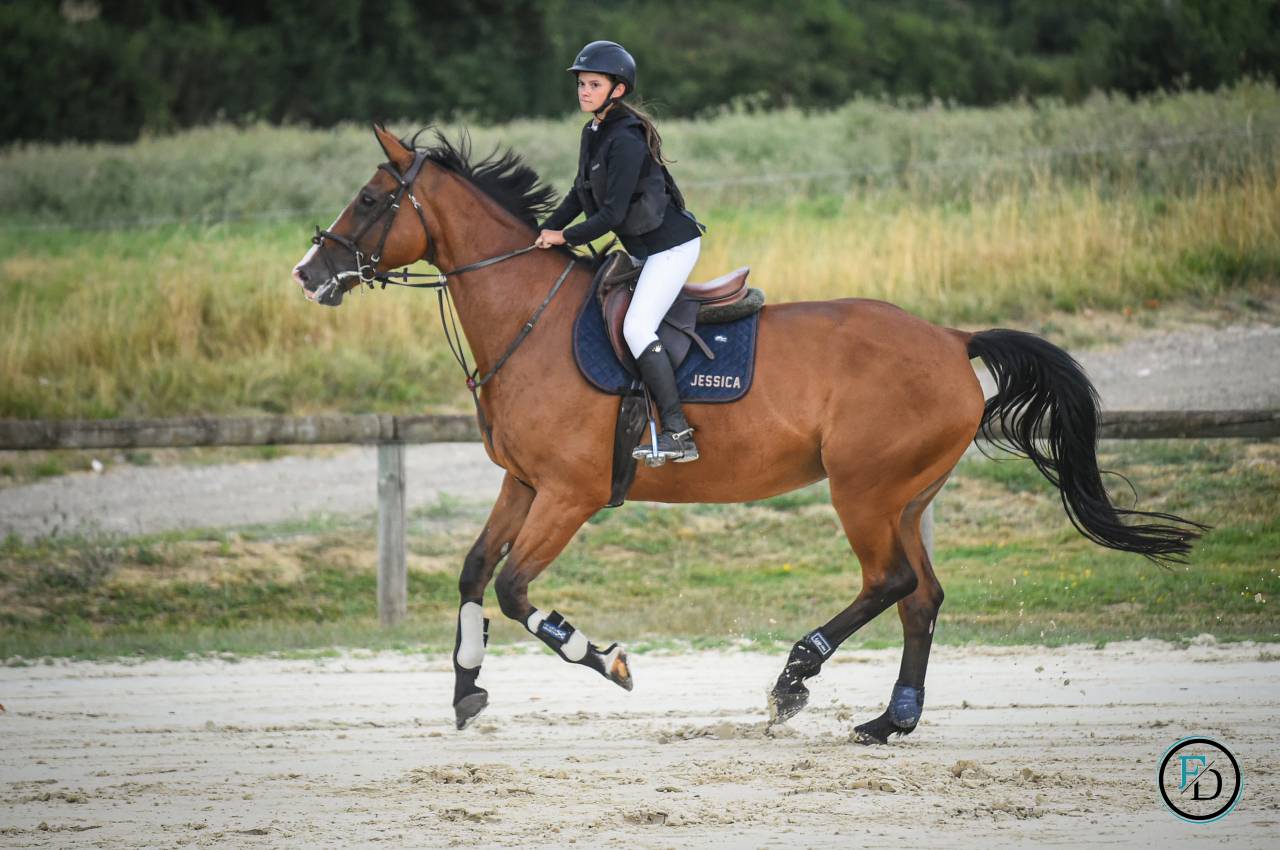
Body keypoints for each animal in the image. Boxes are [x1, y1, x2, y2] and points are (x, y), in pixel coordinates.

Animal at [291, 124, 1204, 741]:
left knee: (891, 582)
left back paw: (794, 678)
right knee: (922, 597)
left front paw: (609, 661)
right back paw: (889, 721)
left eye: (370, 201)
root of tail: (951, 340)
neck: (529, 319)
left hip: (863, 490)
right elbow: (475, 572)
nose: (308, 274)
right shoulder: (524, 482)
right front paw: (466, 691)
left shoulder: (571, 493)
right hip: (905, 496)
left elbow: (516, 589)